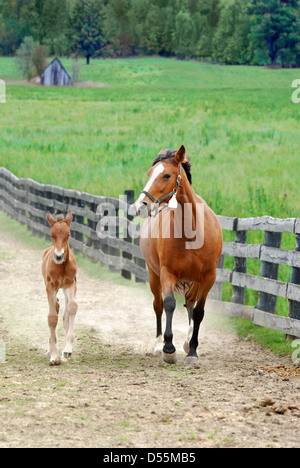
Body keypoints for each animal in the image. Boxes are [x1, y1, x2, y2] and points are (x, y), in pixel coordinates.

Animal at [133, 146, 223, 366]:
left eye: (166, 175)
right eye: (149, 173)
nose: (141, 206)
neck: (191, 231)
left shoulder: (208, 277)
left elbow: (198, 312)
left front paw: (192, 351)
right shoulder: (167, 273)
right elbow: (169, 305)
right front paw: (168, 349)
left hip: (195, 280)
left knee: (190, 303)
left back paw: (188, 342)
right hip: (153, 275)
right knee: (158, 306)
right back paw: (158, 344)